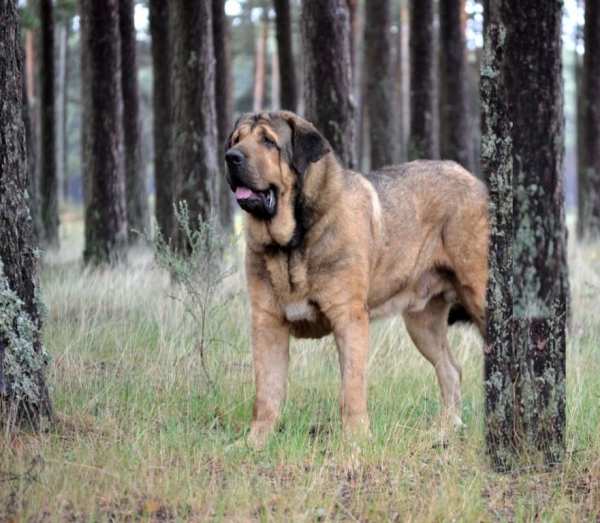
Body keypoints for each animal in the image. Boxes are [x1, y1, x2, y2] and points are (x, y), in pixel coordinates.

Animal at [225, 111, 488, 450]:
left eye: (268, 141)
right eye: (237, 139)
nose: (231, 157)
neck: (292, 243)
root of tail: (474, 181)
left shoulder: (348, 317)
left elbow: (351, 385)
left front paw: (356, 440)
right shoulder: (267, 321)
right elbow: (267, 391)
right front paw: (255, 441)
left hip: (479, 296)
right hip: (422, 323)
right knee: (450, 370)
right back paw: (445, 430)